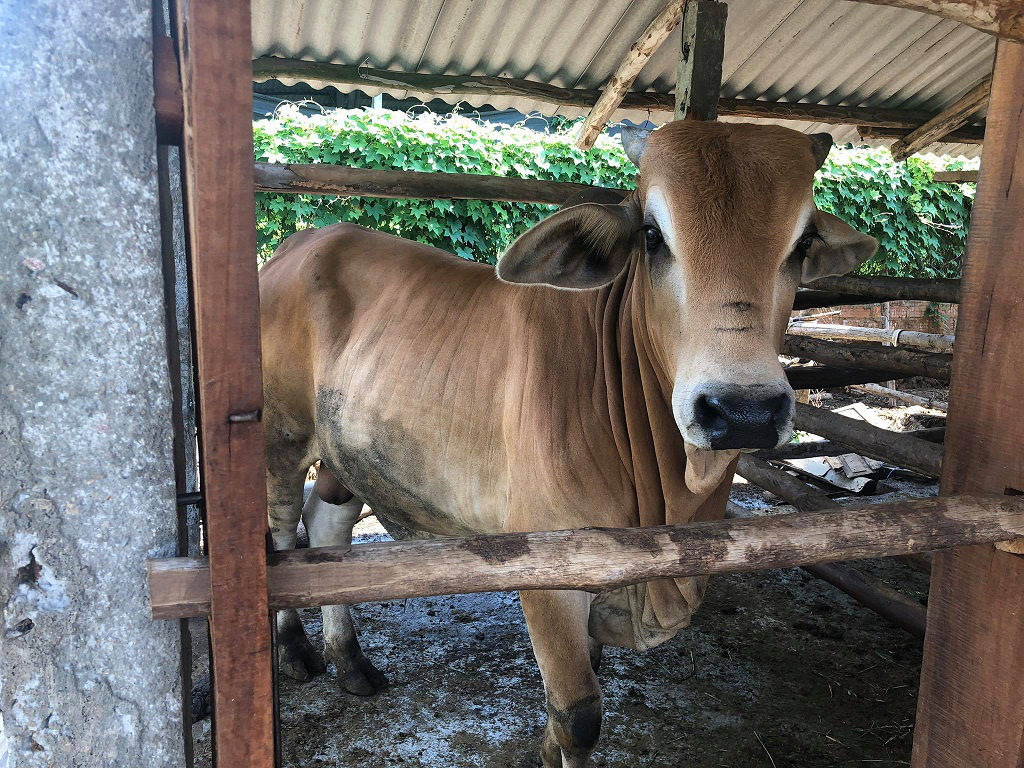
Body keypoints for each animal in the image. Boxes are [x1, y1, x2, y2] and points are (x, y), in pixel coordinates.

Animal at [260, 121, 876, 768]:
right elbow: (578, 716)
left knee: (328, 530)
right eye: (652, 236)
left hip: (351, 449)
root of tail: (299, 243)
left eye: (803, 242)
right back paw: (296, 652)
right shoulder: (548, 572)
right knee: (282, 536)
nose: (743, 411)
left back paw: (351, 663)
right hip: (281, 438)